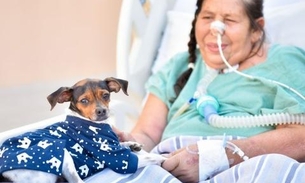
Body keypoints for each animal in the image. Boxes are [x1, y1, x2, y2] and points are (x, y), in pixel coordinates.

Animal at [0, 77, 165, 183]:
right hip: (61, 153)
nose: (101, 111)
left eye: (106, 95)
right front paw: (165, 158)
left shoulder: (115, 146)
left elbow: (121, 143)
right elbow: (153, 158)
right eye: (84, 100)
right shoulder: (121, 160)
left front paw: (132, 144)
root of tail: (5, 177)